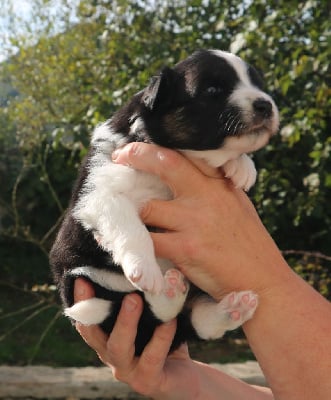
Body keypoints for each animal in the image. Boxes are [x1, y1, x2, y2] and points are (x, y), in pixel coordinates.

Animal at [50, 49, 280, 354]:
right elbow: (131, 228)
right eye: (213, 90)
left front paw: (242, 167)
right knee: (142, 312)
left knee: (194, 321)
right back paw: (167, 291)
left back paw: (231, 308)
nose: (265, 104)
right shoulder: (101, 194)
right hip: (81, 278)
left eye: (257, 84)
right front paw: (144, 268)